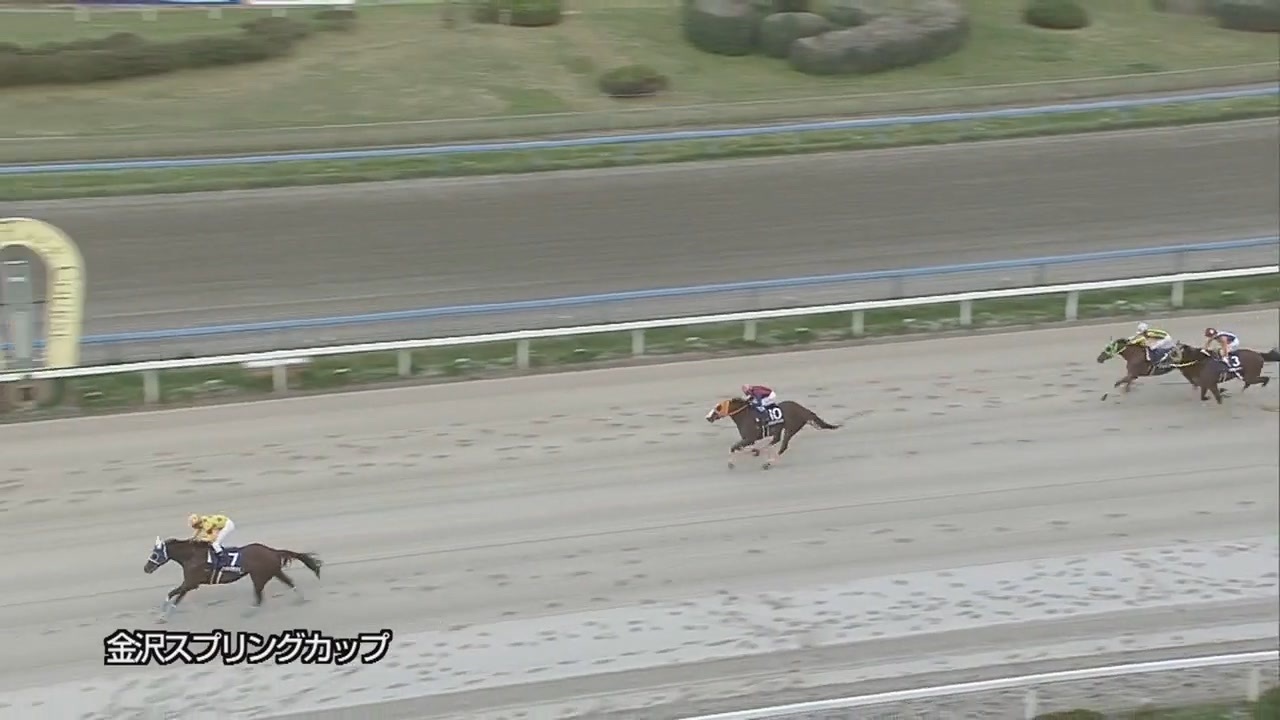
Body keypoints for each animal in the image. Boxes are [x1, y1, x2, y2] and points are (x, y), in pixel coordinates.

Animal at [144, 536, 323, 621]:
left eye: (155, 554)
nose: (146, 568)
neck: (192, 556)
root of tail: (272, 551)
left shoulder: (191, 582)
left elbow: (172, 594)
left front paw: (161, 615)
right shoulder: (190, 583)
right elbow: (175, 598)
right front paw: (163, 616)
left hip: (258, 576)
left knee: (259, 597)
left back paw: (249, 612)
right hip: (273, 572)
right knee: (289, 582)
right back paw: (301, 598)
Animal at [704, 397, 839, 470]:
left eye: (718, 407)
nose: (708, 417)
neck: (746, 416)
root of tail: (803, 409)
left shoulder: (750, 438)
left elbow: (733, 447)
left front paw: (731, 464)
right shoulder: (749, 439)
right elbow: (741, 447)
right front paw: (754, 451)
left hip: (791, 428)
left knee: (783, 446)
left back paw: (767, 463)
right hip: (780, 429)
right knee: (776, 440)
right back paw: (763, 452)